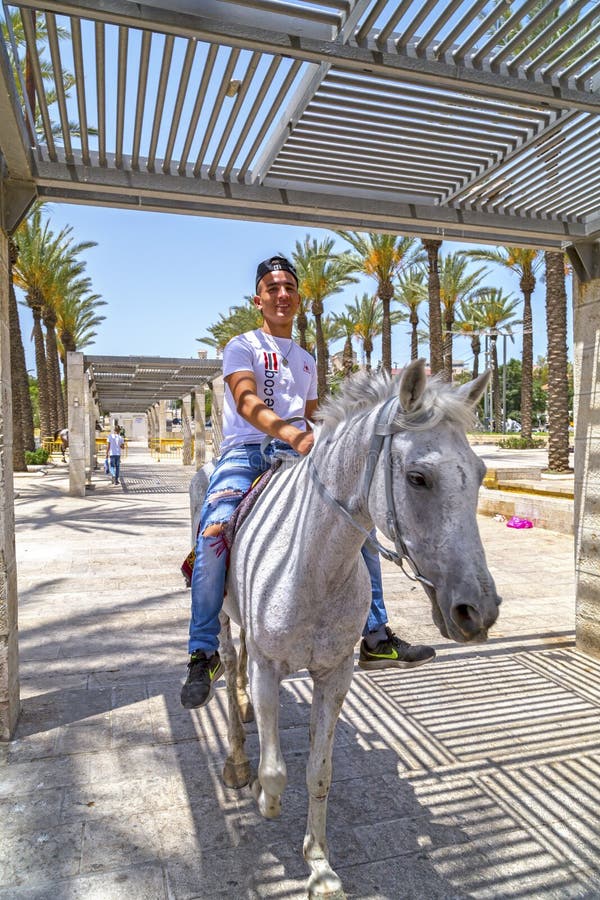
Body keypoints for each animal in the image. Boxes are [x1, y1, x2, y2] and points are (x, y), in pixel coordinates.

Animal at [190, 360, 500, 900]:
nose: (477, 611)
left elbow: (319, 772)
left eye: (481, 474)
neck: (310, 563)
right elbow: (276, 771)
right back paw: (235, 759)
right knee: (228, 667)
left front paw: (319, 866)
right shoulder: (271, 668)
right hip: (222, 616)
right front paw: (263, 797)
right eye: (418, 477)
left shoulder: (335, 675)